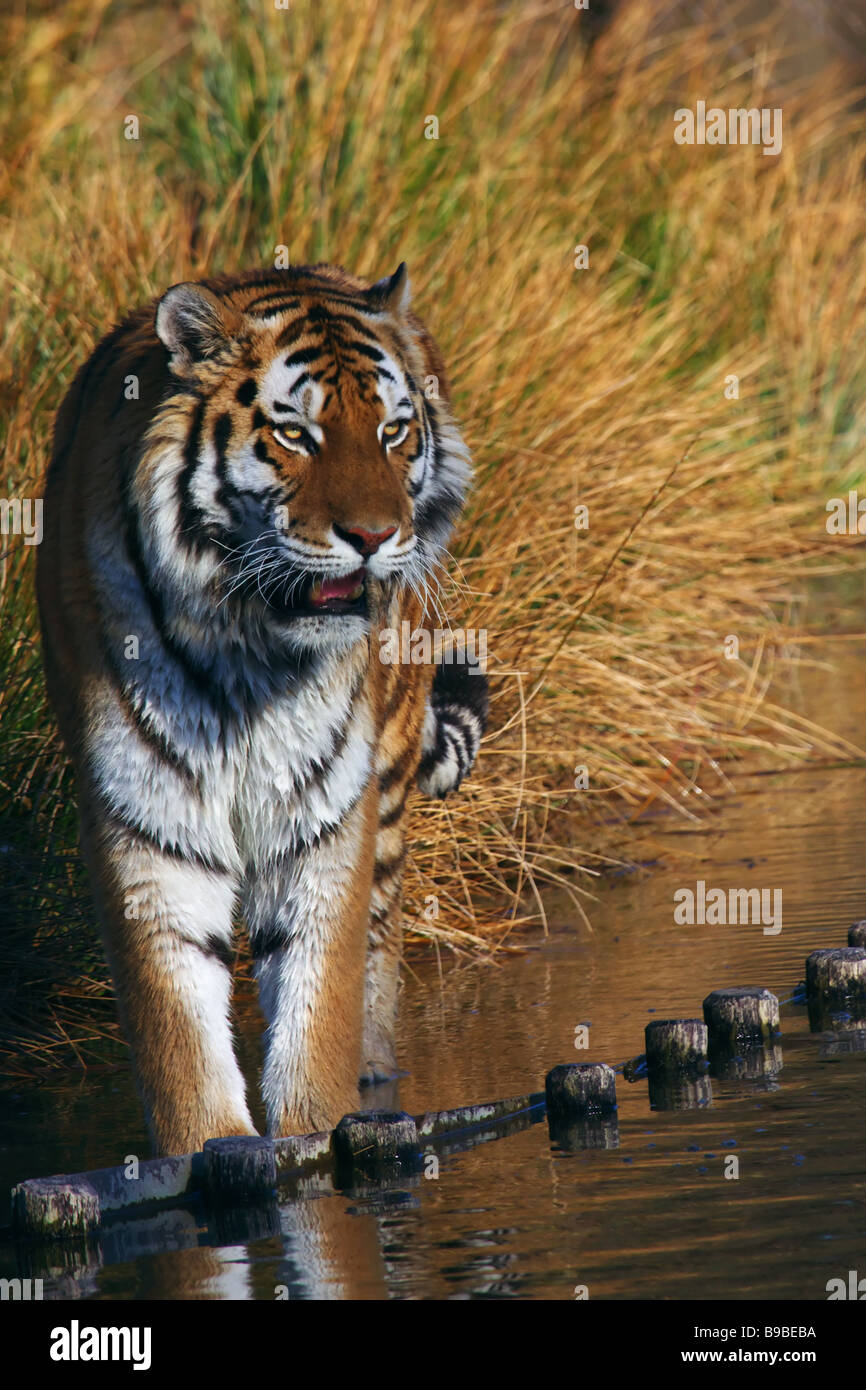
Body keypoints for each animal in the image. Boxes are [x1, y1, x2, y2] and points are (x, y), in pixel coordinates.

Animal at [35, 261, 489, 1150]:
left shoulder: (326, 817)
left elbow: (320, 1011)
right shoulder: (151, 824)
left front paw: (319, 1129)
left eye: (393, 433)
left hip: (388, 778)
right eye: (297, 435)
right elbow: (179, 1038)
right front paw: (210, 1145)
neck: (251, 646)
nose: (375, 537)